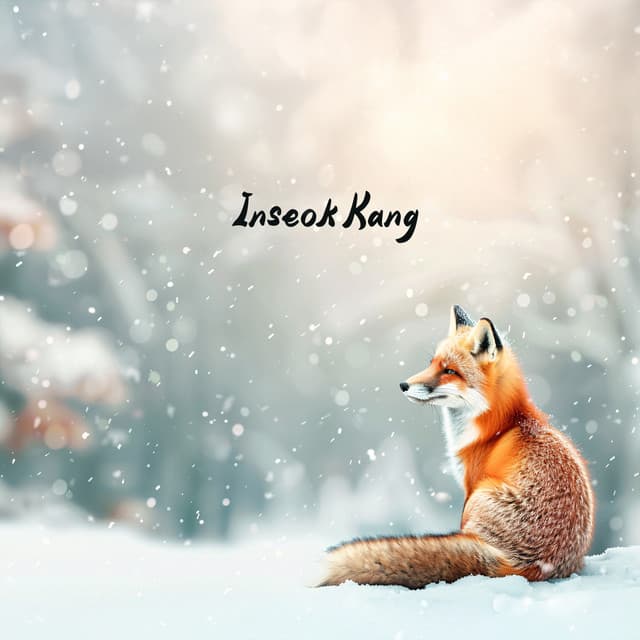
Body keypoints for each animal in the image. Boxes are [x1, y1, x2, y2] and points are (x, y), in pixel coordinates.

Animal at [318, 305, 594, 588]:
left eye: (450, 371)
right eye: (431, 363)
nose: (404, 385)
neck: (497, 425)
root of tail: (527, 567)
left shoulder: (470, 483)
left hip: (479, 496)